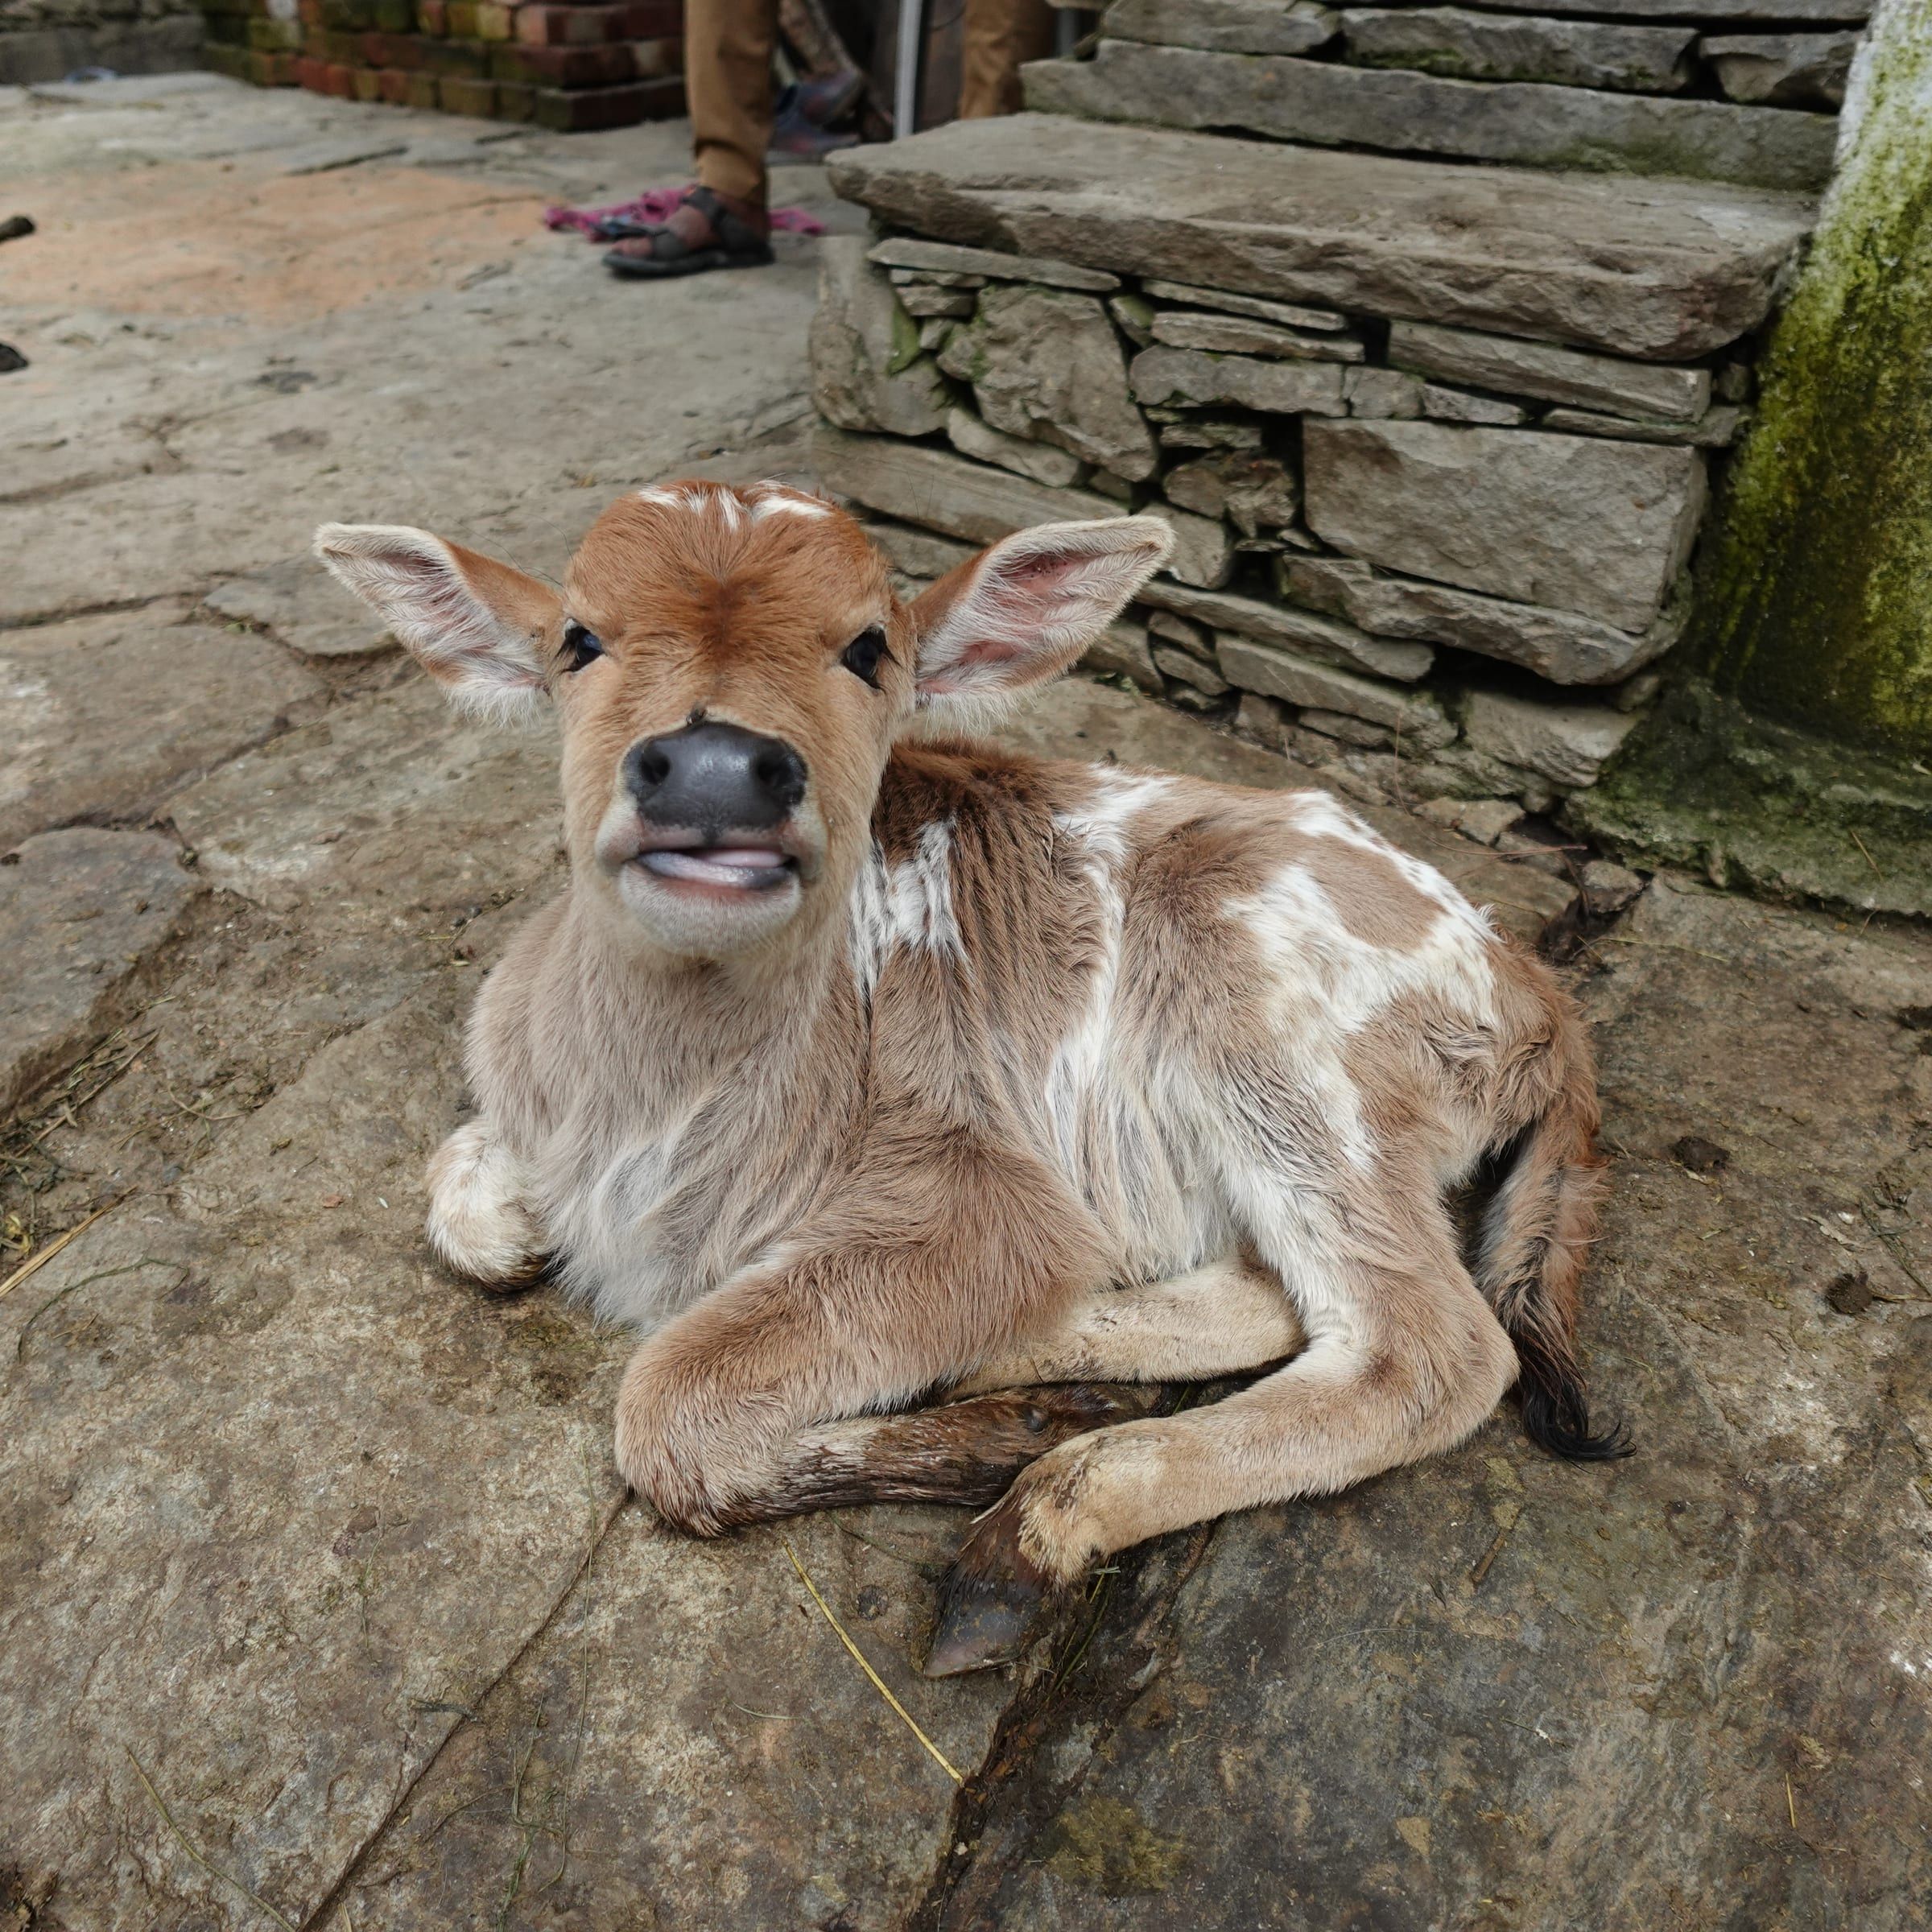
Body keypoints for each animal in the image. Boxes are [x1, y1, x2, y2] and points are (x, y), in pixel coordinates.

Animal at [315, 480, 1622, 1676]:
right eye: (578, 640)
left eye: (870, 648)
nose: (716, 770)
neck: (649, 1110)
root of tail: (1537, 993)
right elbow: (464, 1198)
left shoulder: (974, 1187)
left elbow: (668, 1408)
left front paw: (990, 1450)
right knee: (1267, 1290)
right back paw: (1014, 1380)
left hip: (1260, 1010)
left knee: (1426, 1348)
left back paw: (1028, 1528)